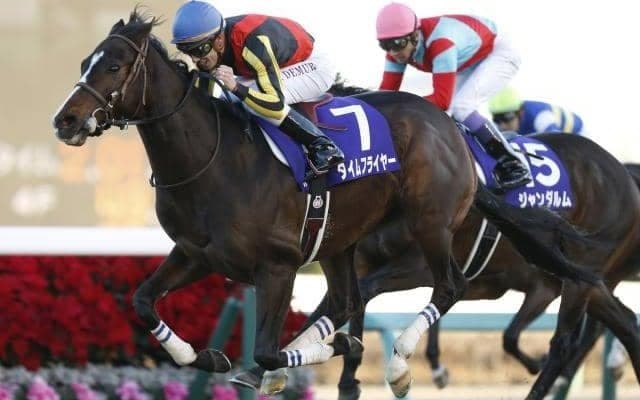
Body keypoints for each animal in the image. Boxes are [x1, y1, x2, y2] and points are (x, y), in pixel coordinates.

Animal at [51, 10, 601, 397]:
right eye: (82, 64)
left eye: (115, 65)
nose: (66, 120)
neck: (213, 160)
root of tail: (451, 130)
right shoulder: (196, 254)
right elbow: (144, 302)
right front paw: (204, 356)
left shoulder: (278, 265)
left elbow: (267, 350)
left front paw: (329, 351)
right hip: (340, 241)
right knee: (345, 301)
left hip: (431, 222)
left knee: (449, 286)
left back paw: (398, 364)